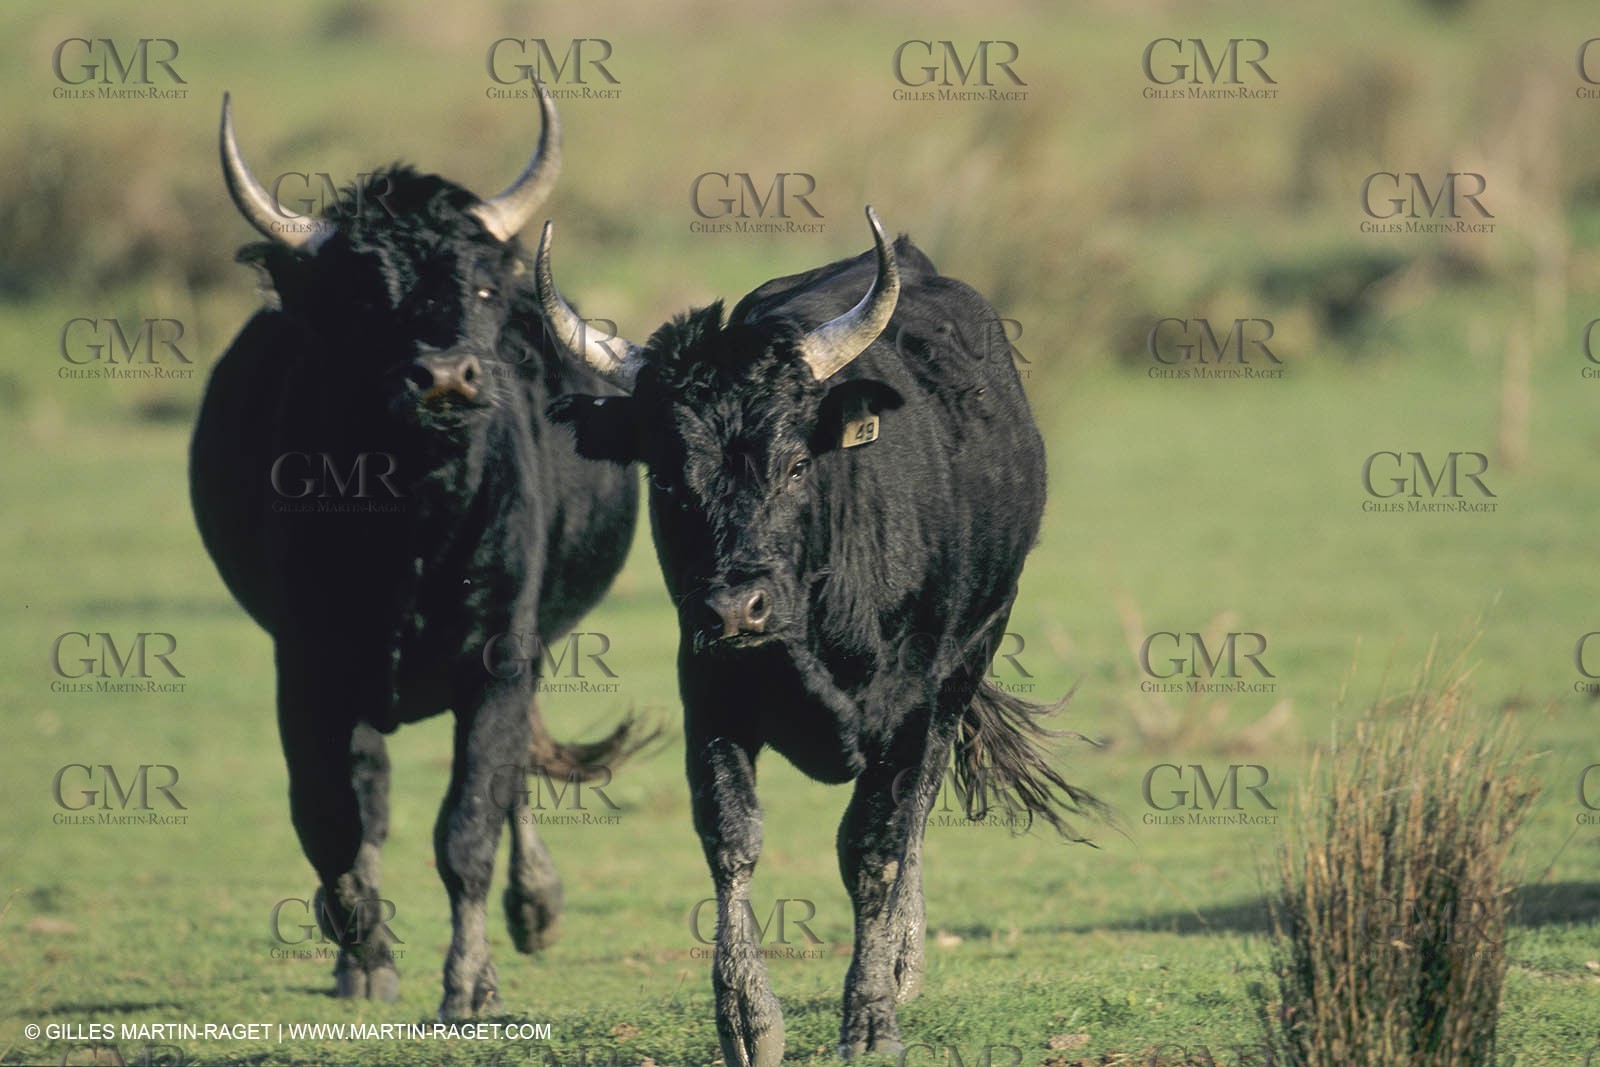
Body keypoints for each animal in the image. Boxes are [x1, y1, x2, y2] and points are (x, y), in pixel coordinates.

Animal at [189, 85, 649, 1019]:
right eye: (365, 296)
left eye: (479, 284)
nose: (443, 377)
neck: (412, 527)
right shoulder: (309, 667)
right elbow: (334, 817)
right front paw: (362, 947)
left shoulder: (501, 657)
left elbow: (468, 821)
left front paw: (471, 980)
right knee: (370, 799)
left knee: (507, 786)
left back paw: (535, 908)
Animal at [533, 206, 1107, 1063]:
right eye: (665, 476)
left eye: (798, 465)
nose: (736, 609)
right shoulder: (708, 691)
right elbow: (731, 836)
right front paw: (747, 1016)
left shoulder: (910, 704)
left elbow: (875, 847)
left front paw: (871, 1015)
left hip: (971, 656)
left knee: (922, 803)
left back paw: (903, 958)